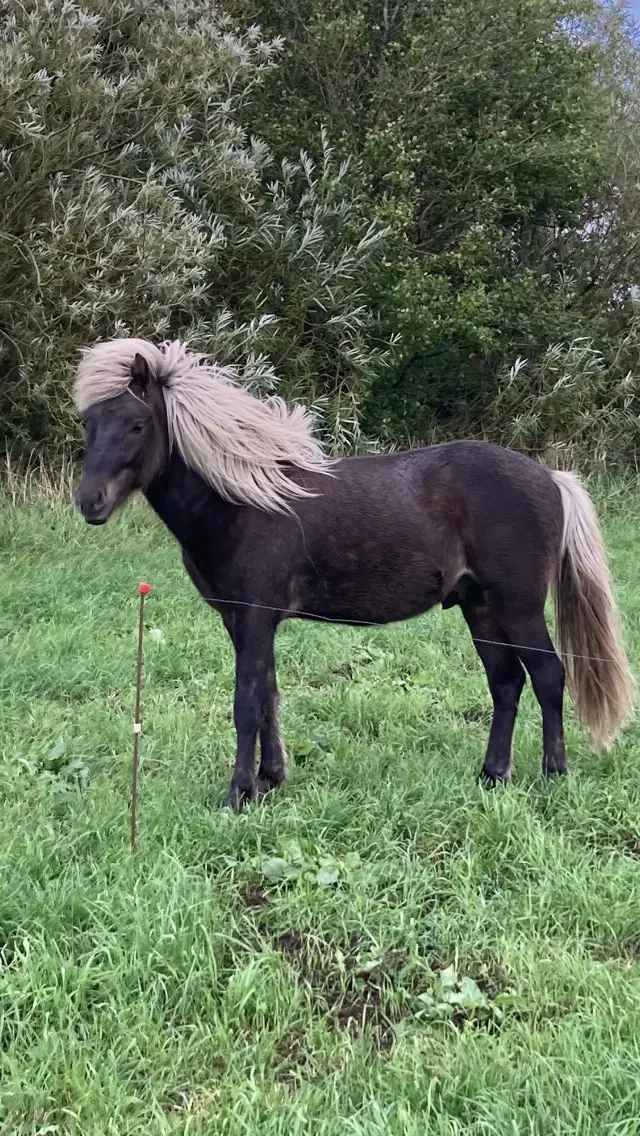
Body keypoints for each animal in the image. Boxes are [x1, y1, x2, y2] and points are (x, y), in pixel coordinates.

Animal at [73, 336, 636, 808]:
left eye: (137, 424)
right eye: (89, 424)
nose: (89, 502)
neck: (244, 501)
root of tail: (550, 477)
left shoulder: (253, 617)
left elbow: (246, 701)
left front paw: (238, 793)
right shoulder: (243, 621)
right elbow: (268, 694)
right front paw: (270, 779)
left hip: (517, 607)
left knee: (547, 675)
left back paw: (553, 775)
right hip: (480, 607)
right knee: (506, 681)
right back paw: (493, 774)